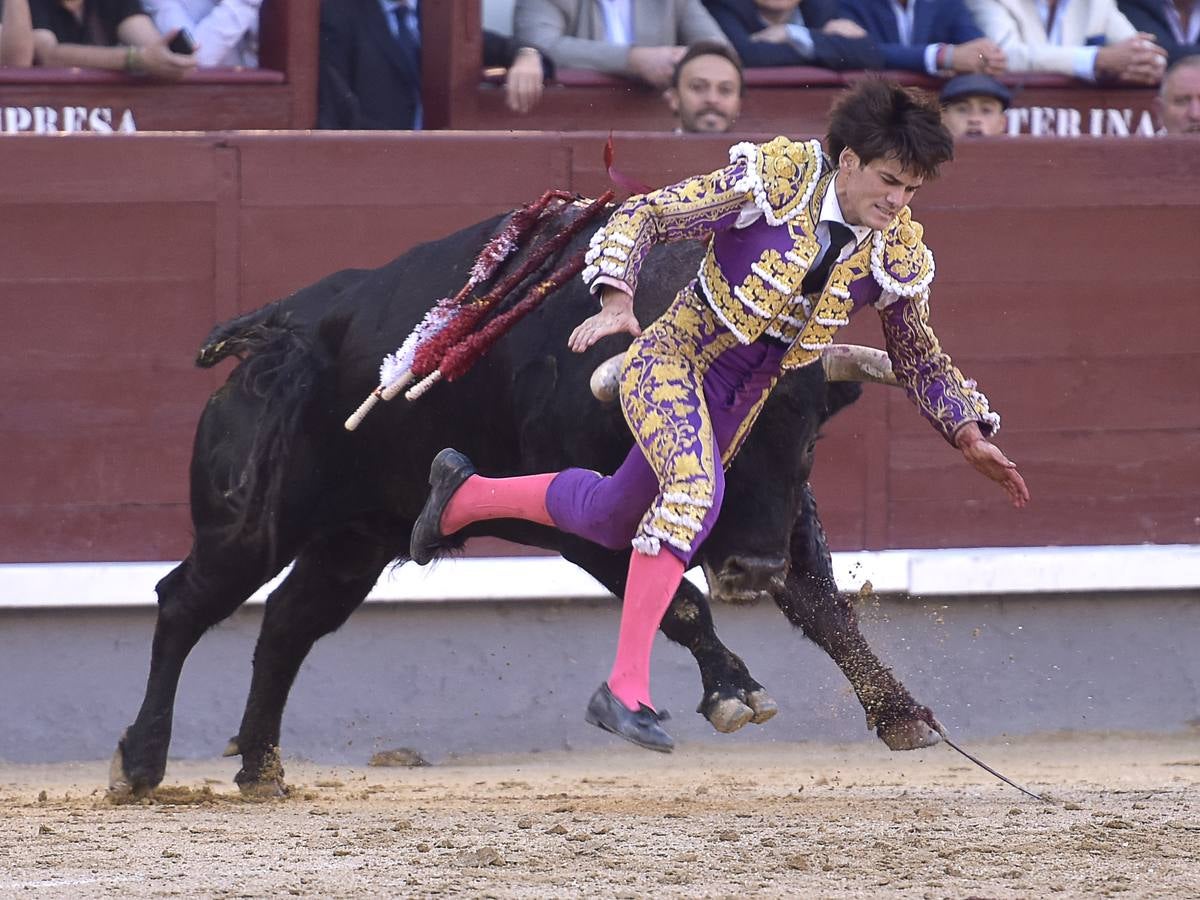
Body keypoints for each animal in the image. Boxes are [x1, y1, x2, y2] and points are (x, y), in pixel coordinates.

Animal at [110, 206, 936, 796]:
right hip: (251, 528)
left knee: (287, 624)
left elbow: (826, 609)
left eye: (808, 446)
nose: (754, 572)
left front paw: (904, 715)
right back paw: (141, 764)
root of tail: (278, 326)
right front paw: (734, 690)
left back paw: (260, 768)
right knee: (185, 603)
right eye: (721, 446)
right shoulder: (586, 528)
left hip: (355, 541)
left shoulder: (785, 520)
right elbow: (682, 605)